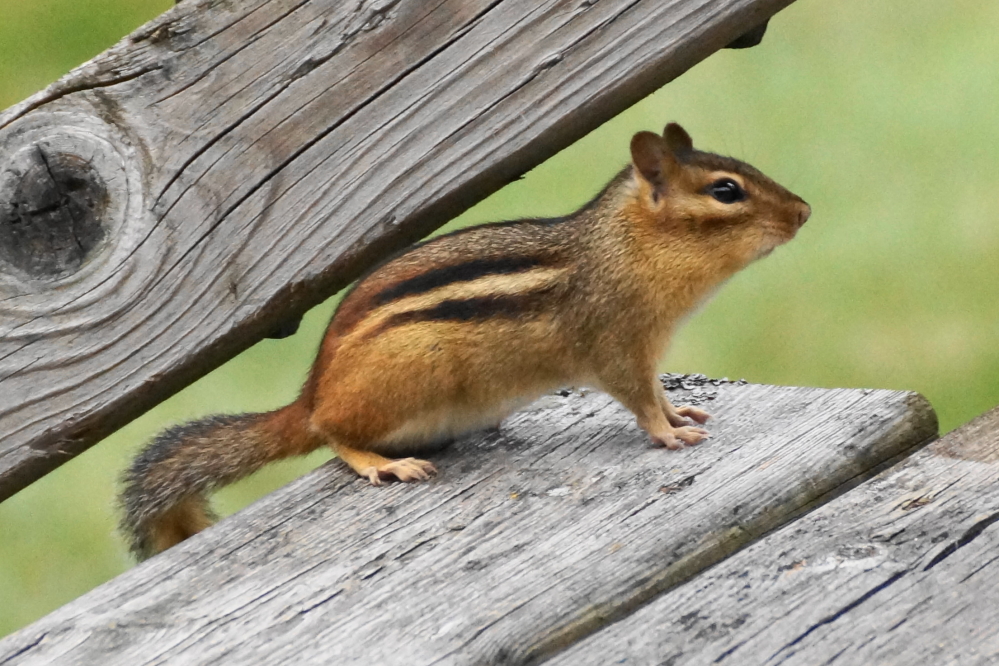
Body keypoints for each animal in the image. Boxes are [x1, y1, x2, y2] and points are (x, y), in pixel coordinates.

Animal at [119, 122, 810, 560]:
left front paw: (682, 412)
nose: (803, 212)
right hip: (396, 386)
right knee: (334, 435)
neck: (626, 250)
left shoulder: (644, 353)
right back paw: (381, 462)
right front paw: (669, 435)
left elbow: (658, 393)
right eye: (726, 190)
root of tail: (311, 392)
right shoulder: (615, 346)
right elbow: (638, 401)